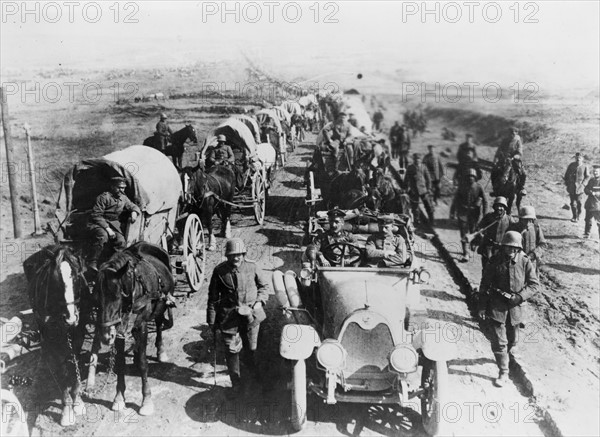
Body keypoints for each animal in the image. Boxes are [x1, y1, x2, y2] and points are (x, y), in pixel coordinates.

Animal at [23, 245, 99, 426]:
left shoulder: (79, 332)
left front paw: (77, 402)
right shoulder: (54, 338)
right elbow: (62, 371)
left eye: (77, 278)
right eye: (55, 280)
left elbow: (74, 364)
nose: (71, 318)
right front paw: (66, 410)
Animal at [96, 242, 175, 416]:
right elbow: (120, 364)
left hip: (160, 306)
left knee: (159, 323)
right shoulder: (119, 331)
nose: (106, 336)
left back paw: (160, 350)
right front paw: (119, 398)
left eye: (117, 295)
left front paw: (146, 400)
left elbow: (143, 364)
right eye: (97, 296)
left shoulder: (141, 325)